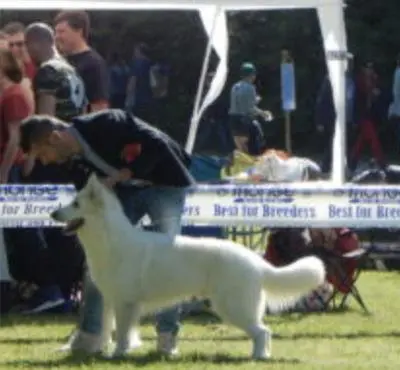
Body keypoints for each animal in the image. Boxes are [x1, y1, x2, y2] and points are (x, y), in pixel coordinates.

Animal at [50, 175, 324, 360]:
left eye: (76, 205)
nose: (53, 214)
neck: (110, 239)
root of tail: (256, 261)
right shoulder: (112, 300)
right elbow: (109, 328)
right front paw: (108, 350)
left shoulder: (126, 303)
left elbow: (124, 333)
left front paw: (119, 354)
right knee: (263, 331)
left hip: (233, 307)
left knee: (262, 331)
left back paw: (258, 357)